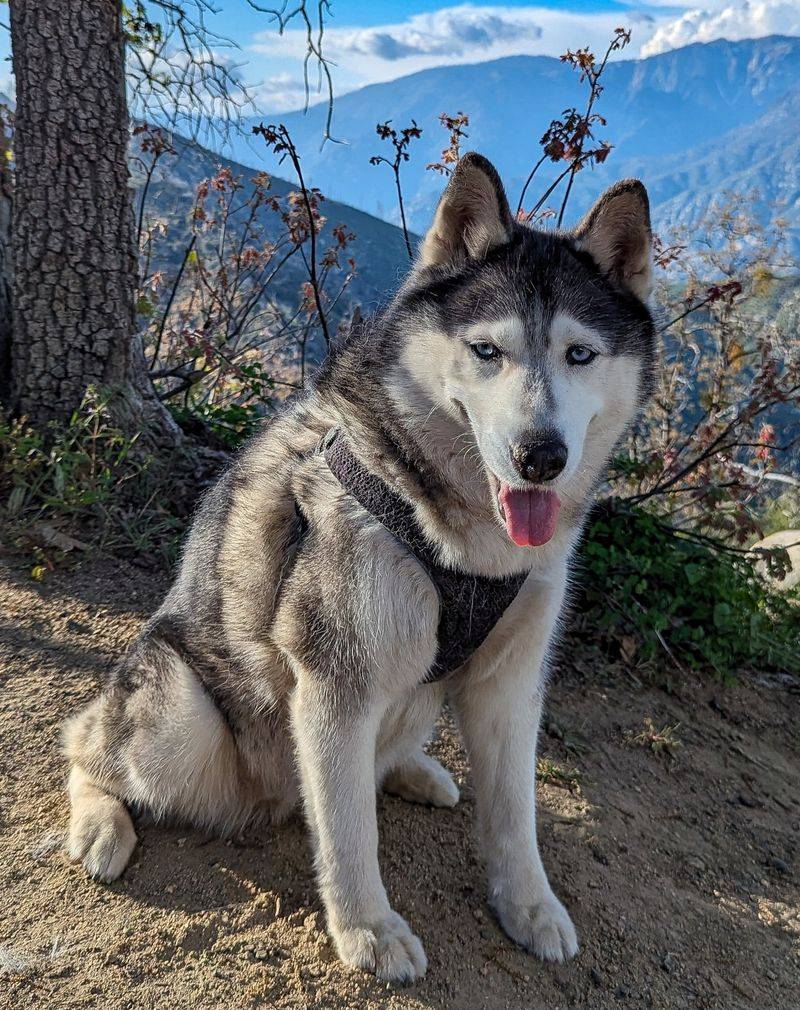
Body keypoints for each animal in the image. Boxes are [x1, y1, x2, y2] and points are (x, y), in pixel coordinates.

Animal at [60, 153, 650, 981]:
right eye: (488, 351)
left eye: (580, 354)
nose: (541, 455)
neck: (468, 543)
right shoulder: (335, 681)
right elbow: (348, 832)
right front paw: (368, 928)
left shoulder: (511, 682)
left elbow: (515, 815)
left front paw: (531, 908)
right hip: (182, 721)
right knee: (83, 742)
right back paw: (101, 822)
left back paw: (415, 772)